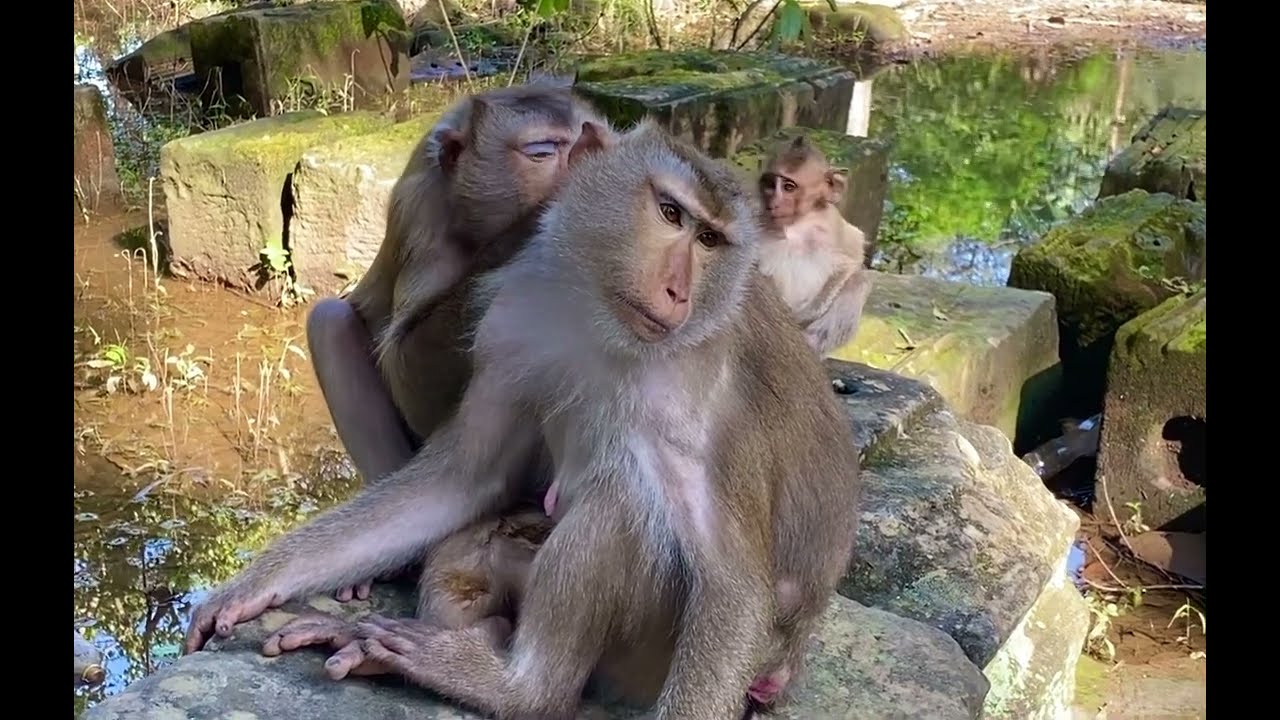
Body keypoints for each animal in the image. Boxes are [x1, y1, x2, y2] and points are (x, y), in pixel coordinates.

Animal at [756, 134, 874, 357]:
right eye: (769, 184)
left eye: (789, 187)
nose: (773, 203)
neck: (797, 223)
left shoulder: (832, 225)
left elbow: (850, 263)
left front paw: (800, 317)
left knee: (859, 280)